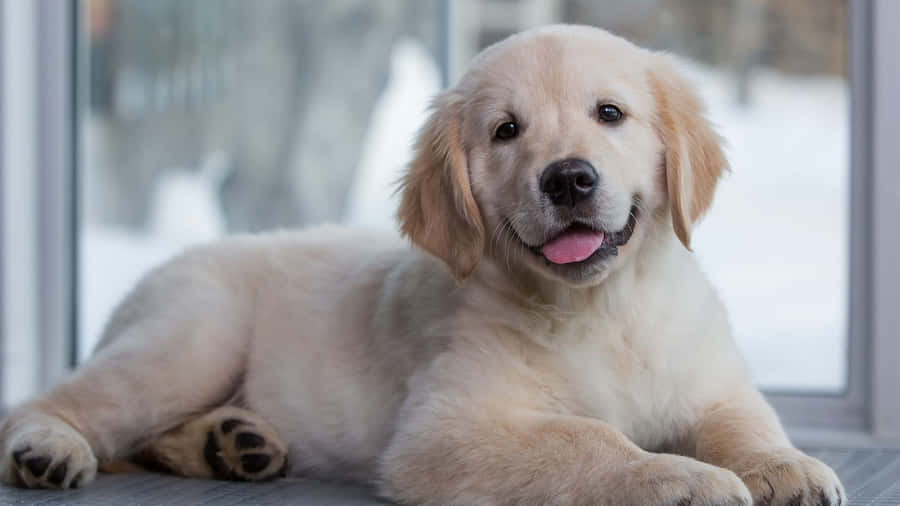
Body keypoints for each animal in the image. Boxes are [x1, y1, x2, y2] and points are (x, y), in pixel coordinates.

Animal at [0, 24, 844, 506]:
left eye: (610, 114)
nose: (568, 179)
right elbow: (589, 440)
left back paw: (233, 444)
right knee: (60, 404)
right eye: (506, 131)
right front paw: (683, 479)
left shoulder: (711, 381)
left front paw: (786, 467)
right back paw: (47, 449)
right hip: (190, 338)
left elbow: (747, 421)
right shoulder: (446, 432)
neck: (601, 308)